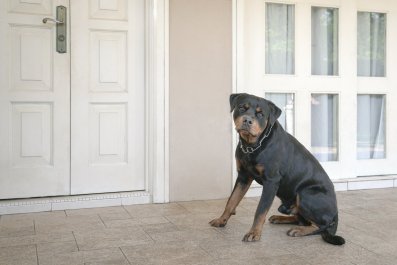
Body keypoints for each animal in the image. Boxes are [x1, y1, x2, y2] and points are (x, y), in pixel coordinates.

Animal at [210, 93, 344, 245]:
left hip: (306, 194)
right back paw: (280, 218)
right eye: (242, 108)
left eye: (260, 114)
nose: (247, 120)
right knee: (303, 220)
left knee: (320, 225)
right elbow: (231, 201)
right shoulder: (243, 176)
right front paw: (221, 220)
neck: (252, 145)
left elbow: (260, 210)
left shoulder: (271, 181)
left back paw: (299, 231)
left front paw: (254, 233)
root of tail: (336, 213)